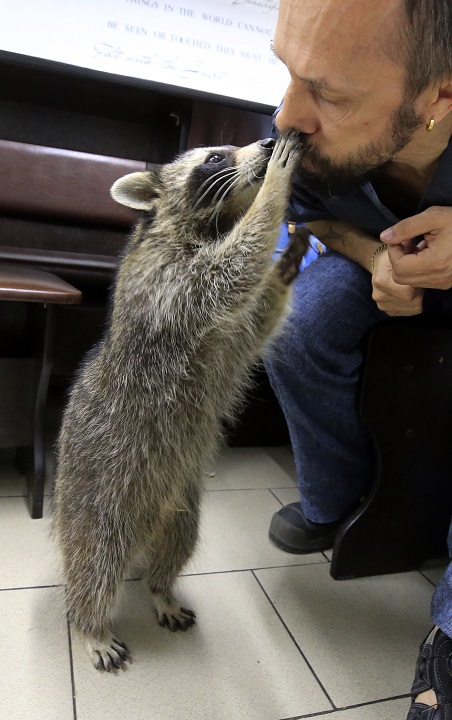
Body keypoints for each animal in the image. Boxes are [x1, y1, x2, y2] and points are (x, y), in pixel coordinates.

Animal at [52, 128, 308, 668]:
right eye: (214, 157)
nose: (267, 140)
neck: (210, 222)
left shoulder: (225, 332)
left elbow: (253, 322)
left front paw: (286, 263)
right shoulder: (166, 282)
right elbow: (231, 270)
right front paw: (276, 187)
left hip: (180, 509)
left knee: (174, 549)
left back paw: (160, 589)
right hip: (98, 504)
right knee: (94, 568)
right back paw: (89, 625)